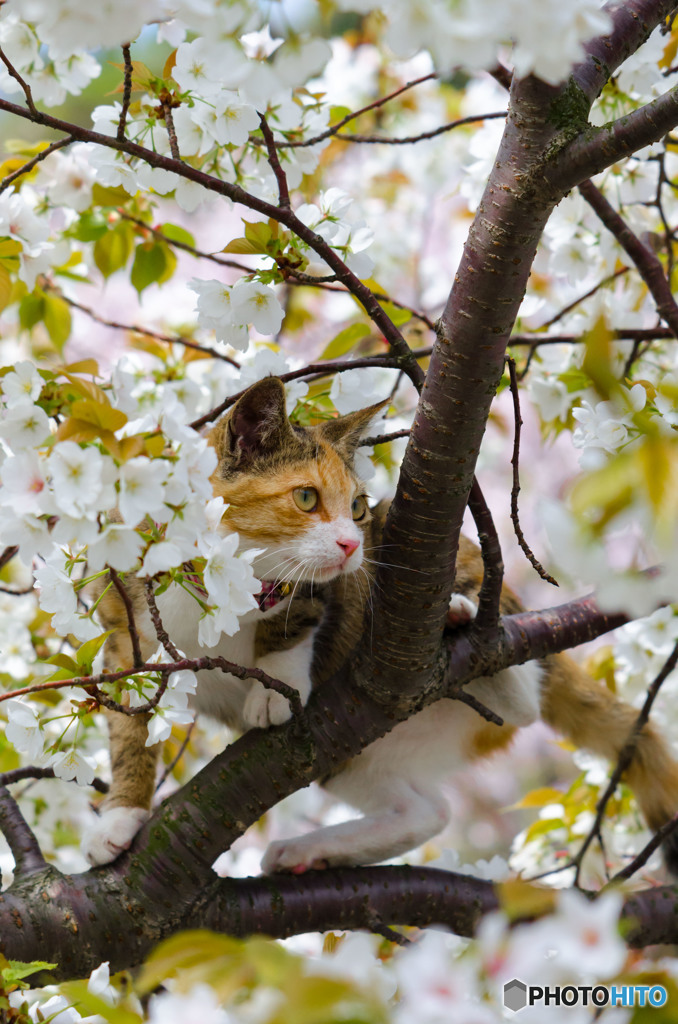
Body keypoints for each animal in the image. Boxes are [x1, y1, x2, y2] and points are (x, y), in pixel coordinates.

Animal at [86, 376, 678, 872]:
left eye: (358, 507)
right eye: (306, 497)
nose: (351, 543)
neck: (218, 581)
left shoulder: (335, 579)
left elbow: (303, 612)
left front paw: (276, 682)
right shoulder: (123, 629)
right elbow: (128, 725)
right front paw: (121, 811)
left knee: (525, 707)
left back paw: (464, 625)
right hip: (349, 757)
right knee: (427, 811)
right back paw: (312, 849)